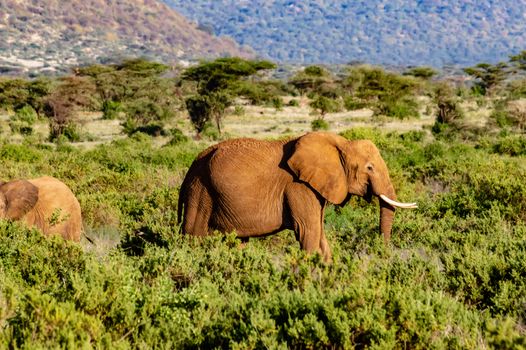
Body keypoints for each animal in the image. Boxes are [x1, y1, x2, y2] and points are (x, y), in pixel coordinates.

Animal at [179, 132, 418, 262]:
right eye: (369, 167)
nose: (381, 254)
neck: (341, 144)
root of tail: (192, 164)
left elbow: (319, 233)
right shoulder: (298, 187)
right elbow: (308, 231)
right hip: (200, 192)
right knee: (194, 237)